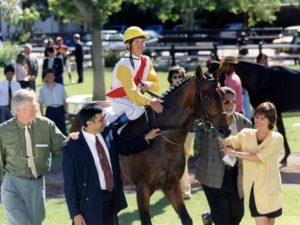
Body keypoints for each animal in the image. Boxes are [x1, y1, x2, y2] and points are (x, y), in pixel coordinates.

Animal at [70, 72, 230, 225]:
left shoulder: (171, 185)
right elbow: (146, 220)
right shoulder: (142, 189)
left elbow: (186, 219)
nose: (225, 130)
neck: (163, 140)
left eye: (222, 95)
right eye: (205, 96)